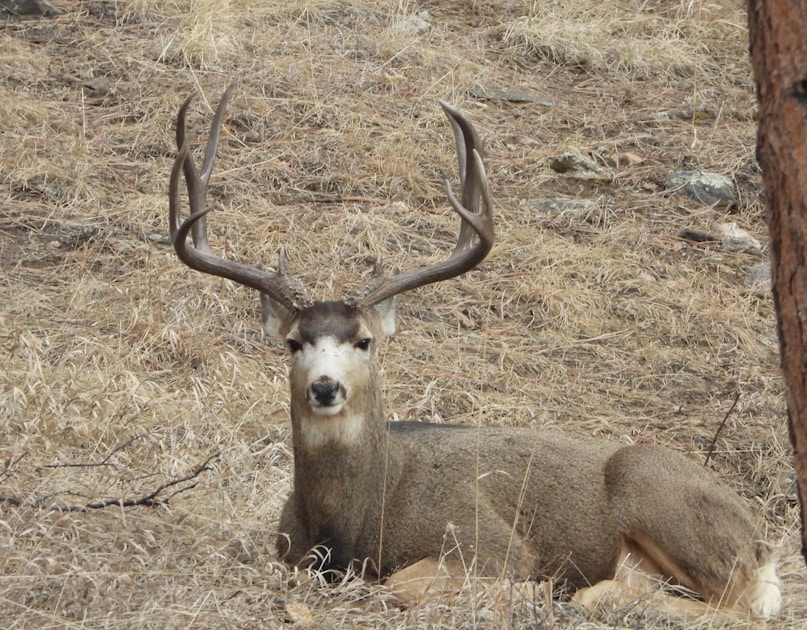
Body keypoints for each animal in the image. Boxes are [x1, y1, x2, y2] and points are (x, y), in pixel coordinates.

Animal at [168, 86, 782, 621]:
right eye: (294, 342)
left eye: (364, 340)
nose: (325, 386)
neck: (356, 519)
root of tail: (760, 540)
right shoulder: (287, 550)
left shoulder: (488, 542)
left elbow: (402, 582)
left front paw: (531, 592)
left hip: (653, 489)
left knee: (742, 607)